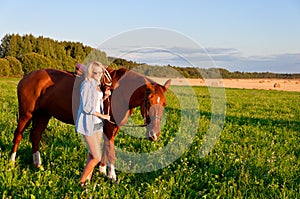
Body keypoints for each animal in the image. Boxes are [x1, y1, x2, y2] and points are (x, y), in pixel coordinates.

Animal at [10, 67, 170, 182]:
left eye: (164, 104)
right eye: (148, 101)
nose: (154, 135)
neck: (120, 92)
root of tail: (26, 77)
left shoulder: (112, 127)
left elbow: (106, 148)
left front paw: (102, 171)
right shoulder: (110, 126)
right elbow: (111, 151)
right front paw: (112, 176)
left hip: (44, 114)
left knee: (36, 135)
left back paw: (37, 163)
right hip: (26, 114)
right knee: (18, 135)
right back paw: (11, 162)